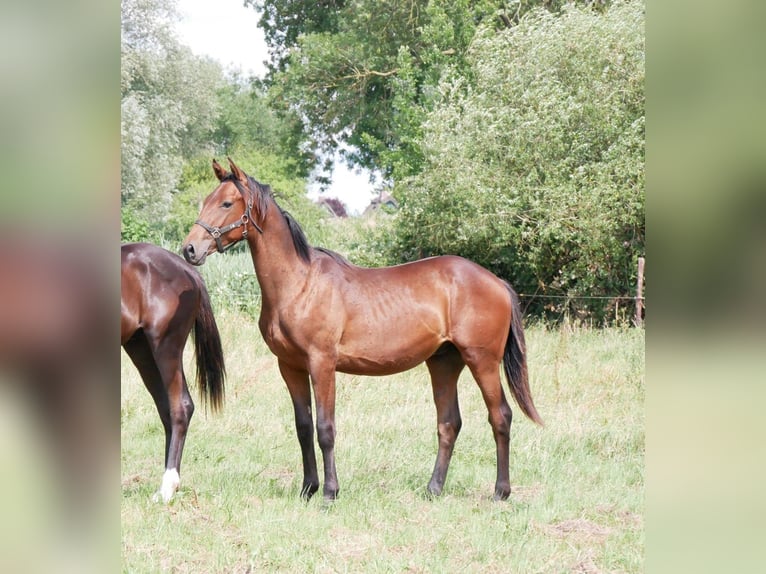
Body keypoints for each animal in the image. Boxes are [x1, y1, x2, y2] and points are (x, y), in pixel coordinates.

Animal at [121, 242, 226, 502]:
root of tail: (189, 272)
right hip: (141, 350)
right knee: (166, 409)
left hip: (165, 348)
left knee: (181, 406)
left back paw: (168, 486)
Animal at [182, 158, 542, 502]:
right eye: (207, 199)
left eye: (227, 203)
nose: (190, 249)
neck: (300, 284)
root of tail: (496, 282)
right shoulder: (290, 367)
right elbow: (303, 428)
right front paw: (307, 489)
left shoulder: (322, 364)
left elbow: (325, 428)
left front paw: (330, 492)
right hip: (444, 362)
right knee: (449, 423)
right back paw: (433, 489)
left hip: (482, 361)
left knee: (500, 416)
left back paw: (500, 492)